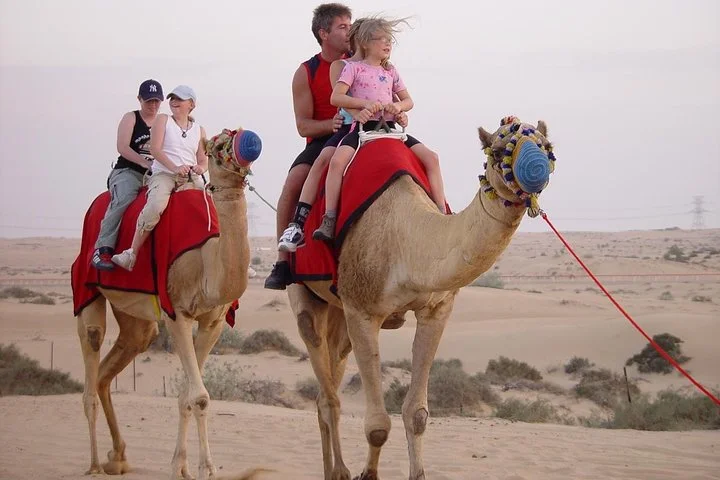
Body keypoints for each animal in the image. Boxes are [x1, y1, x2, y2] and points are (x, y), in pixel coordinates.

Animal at [76, 129, 257, 479]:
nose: (248, 143)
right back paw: (93, 465)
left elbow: (187, 395)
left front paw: (182, 466)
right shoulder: (178, 313)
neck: (206, 259)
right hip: (86, 288)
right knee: (91, 358)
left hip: (136, 318)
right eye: (217, 145)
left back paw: (117, 457)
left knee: (112, 365)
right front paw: (206, 468)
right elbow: (199, 396)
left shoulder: (213, 322)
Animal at [288, 118, 555, 480]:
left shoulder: (436, 309)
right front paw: (366, 474)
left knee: (326, 386)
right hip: (305, 294)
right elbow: (377, 426)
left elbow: (416, 415)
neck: (407, 240)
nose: (536, 170)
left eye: (546, 146)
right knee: (328, 393)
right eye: (499, 150)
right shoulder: (362, 310)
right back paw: (340, 471)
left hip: (338, 313)